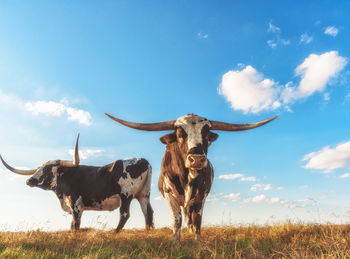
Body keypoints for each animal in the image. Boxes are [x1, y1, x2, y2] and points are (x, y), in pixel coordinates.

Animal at [0, 135, 153, 233]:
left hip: (126, 195)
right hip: (143, 194)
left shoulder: (76, 205)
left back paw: (114, 233)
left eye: (48, 169)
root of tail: (143, 160)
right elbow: (72, 225)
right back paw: (148, 231)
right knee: (148, 212)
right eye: (39, 168)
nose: (29, 180)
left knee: (125, 214)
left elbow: (76, 225)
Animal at [105, 114, 278, 242]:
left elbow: (197, 221)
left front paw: (197, 242)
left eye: (206, 135)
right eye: (180, 134)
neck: (186, 178)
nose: (197, 159)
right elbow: (177, 221)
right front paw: (176, 243)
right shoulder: (170, 195)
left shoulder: (201, 196)